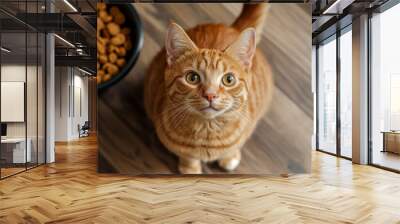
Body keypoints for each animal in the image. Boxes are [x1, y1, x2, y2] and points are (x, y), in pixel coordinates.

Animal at [145, 4, 274, 174]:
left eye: (229, 79)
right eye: (192, 78)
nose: (210, 95)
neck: (208, 132)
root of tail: (232, 27)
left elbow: (234, 146)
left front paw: (230, 157)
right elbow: (188, 156)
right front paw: (190, 169)